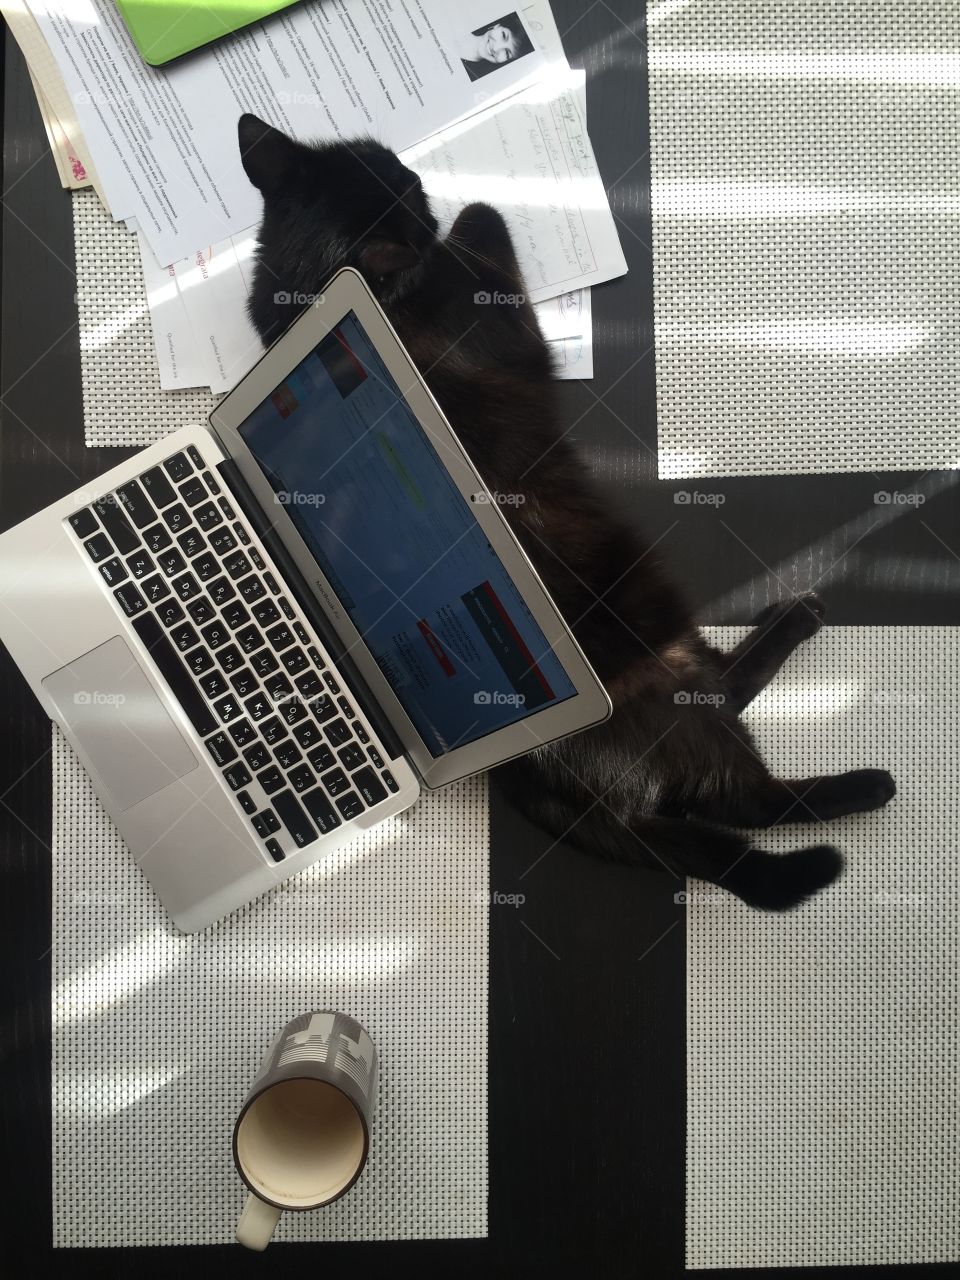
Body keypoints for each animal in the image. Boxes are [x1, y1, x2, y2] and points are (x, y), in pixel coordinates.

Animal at [236, 115, 901, 906]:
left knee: (729, 719)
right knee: (747, 798)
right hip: (670, 684)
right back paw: (860, 770)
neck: (316, 291)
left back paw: (790, 624)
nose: (420, 177)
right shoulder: (504, 316)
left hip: (679, 657)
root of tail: (553, 782)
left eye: (388, 163)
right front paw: (471, 213)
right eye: (406, 196)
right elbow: (485, 222)